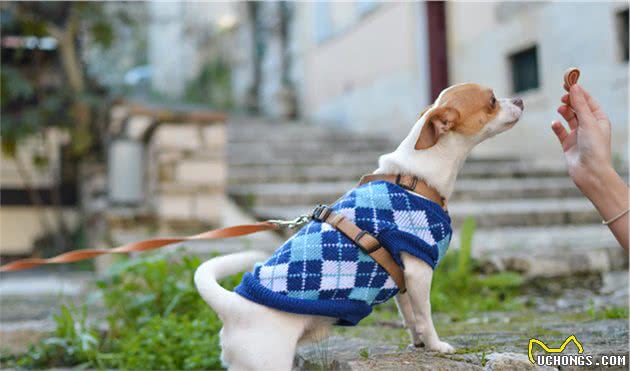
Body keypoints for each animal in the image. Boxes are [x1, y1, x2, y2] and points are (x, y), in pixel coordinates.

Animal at [195, 84, 524, 371]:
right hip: (268, 363)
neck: (414, 178)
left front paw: (418, 344)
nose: (520, 99)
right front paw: (437, 346)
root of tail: (232, 306)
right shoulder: (420, 272)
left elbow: (411, 318)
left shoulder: (403, 280)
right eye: (492, 100)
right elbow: (426, 316)